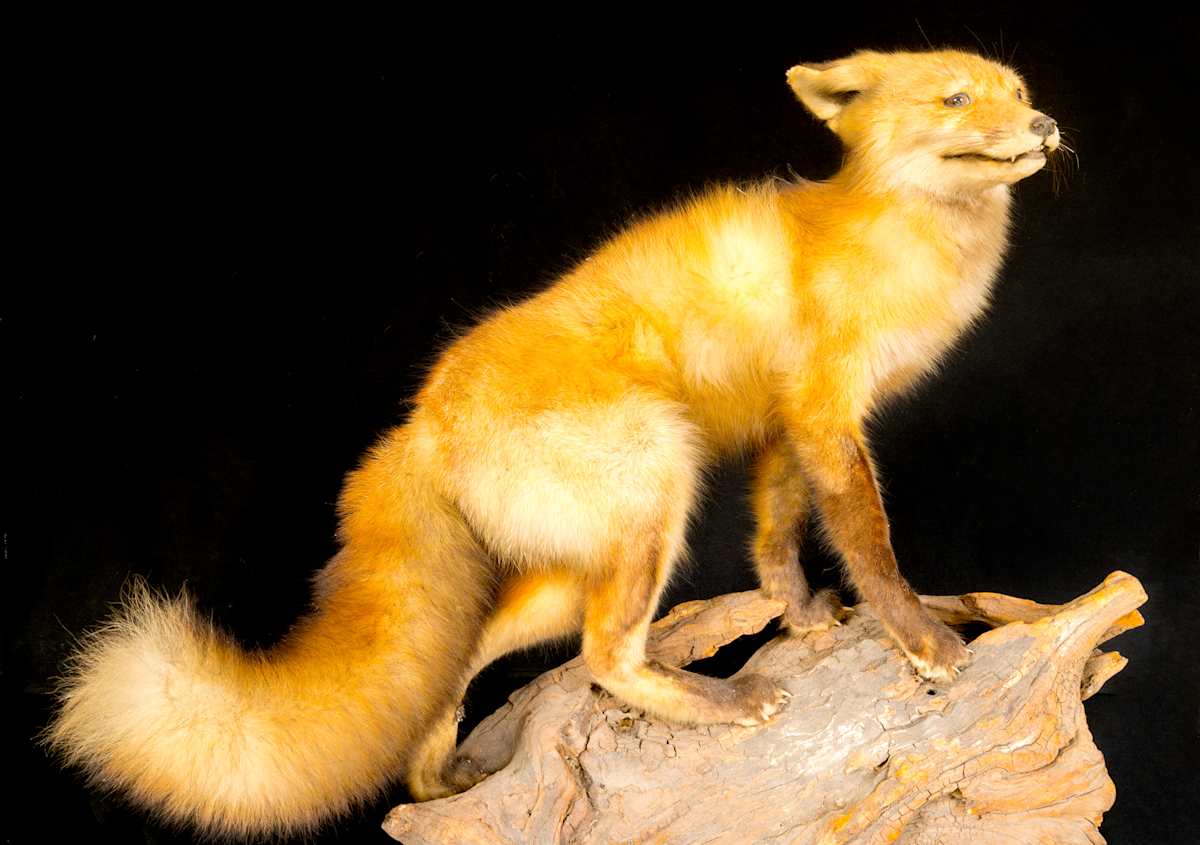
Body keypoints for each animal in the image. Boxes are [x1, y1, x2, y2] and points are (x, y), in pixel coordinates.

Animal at [45, 48, 1060, 838]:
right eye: (955, 99)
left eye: (1013, 88)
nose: (1047, 124)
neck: (892, 244)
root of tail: (421, 423)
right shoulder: (823, 411)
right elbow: (869, 544)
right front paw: (923, 638)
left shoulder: (787, 426)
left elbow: (776, 538)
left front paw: (803, 617)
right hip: (655, 489)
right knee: (605, 657)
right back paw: (724, 702)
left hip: (574, 565)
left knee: (480, 655)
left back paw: (434, 781)